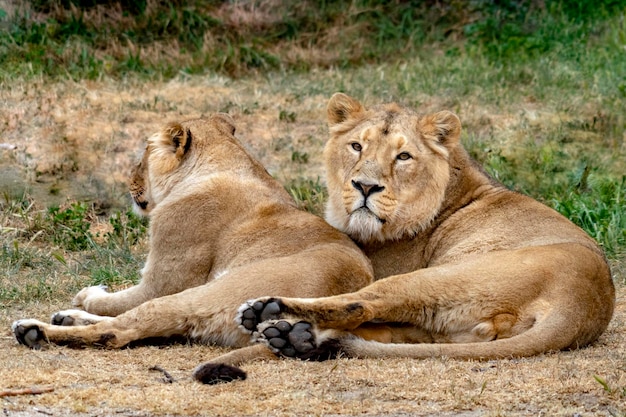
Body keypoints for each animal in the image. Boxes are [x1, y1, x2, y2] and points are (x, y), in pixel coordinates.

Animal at [12, 112, 372, 382]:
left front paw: (88, 294)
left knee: (120, 331)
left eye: (144, 153)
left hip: (205, 294)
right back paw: (64, 318)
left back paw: (33, 330)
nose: (129, 182)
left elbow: (115, 303)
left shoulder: (162, 283)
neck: (225, 162)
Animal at [234, 92, 616, 360]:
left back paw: (270, 313)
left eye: (403, 157)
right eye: (356, 146)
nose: (365, 186)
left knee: (362, 305)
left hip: (438, 277)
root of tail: (583, 304)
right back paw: (294, 338)